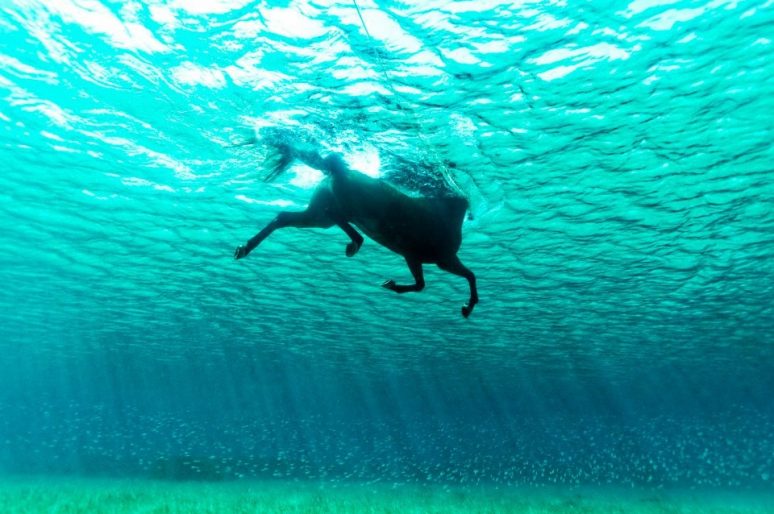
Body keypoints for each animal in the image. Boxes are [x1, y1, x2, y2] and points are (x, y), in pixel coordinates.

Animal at [233, 141, 482, 316]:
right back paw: (355, 243)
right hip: (347, 209)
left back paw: (243, 248)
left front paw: (466, 308)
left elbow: (446, 280)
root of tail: (337, 170)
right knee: (336, 216)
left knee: (284, 217)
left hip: (318, 217)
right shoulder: (435, 258)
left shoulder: (428, 258)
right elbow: (440, 281)